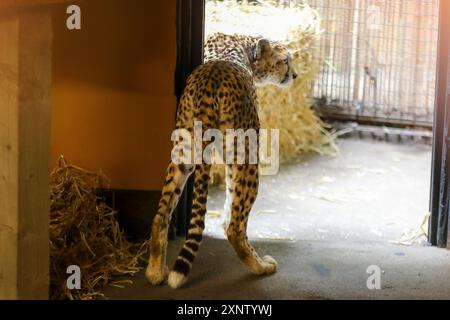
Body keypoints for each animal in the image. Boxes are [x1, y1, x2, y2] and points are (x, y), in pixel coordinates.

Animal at [146, 33, 298, 290]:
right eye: (285, 60)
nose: (294, 75)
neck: (244, 45)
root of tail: (210, 79)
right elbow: (232, 202)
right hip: (248, 158)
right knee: (236, 228)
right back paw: (261, 266)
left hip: (183, 154)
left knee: (161, 214)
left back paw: (155, 272)